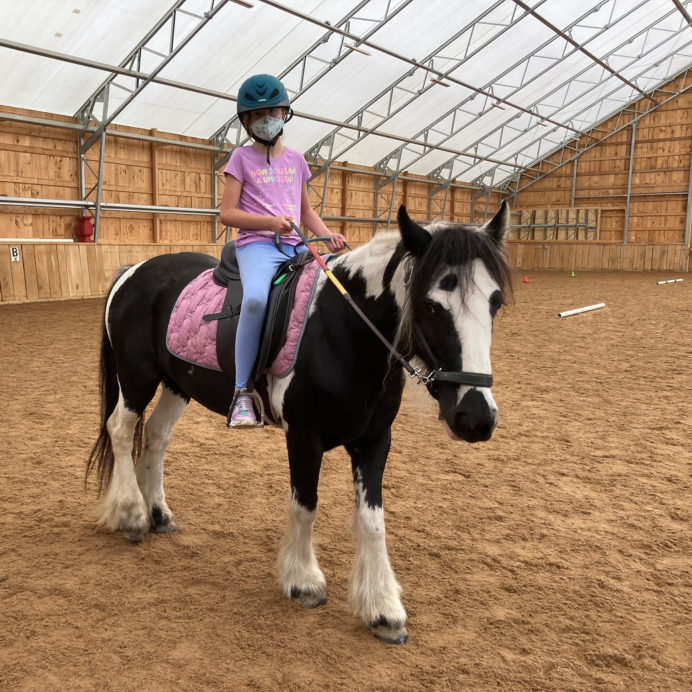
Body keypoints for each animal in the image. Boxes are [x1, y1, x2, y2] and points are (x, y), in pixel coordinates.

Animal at [86, 203, 510, 648]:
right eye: (430, 305)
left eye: (495, 302)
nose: (476, 418)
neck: (344, 330)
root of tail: (135, 270)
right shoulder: (304, 438)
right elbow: (305, 506)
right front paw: (303, 582)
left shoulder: (375, 441)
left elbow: (372, 521)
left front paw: (383, 610)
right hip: (136, 378)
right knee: (121, 430)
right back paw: (132, 515)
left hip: (176, 384)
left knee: (156, 437)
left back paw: (157, 513)